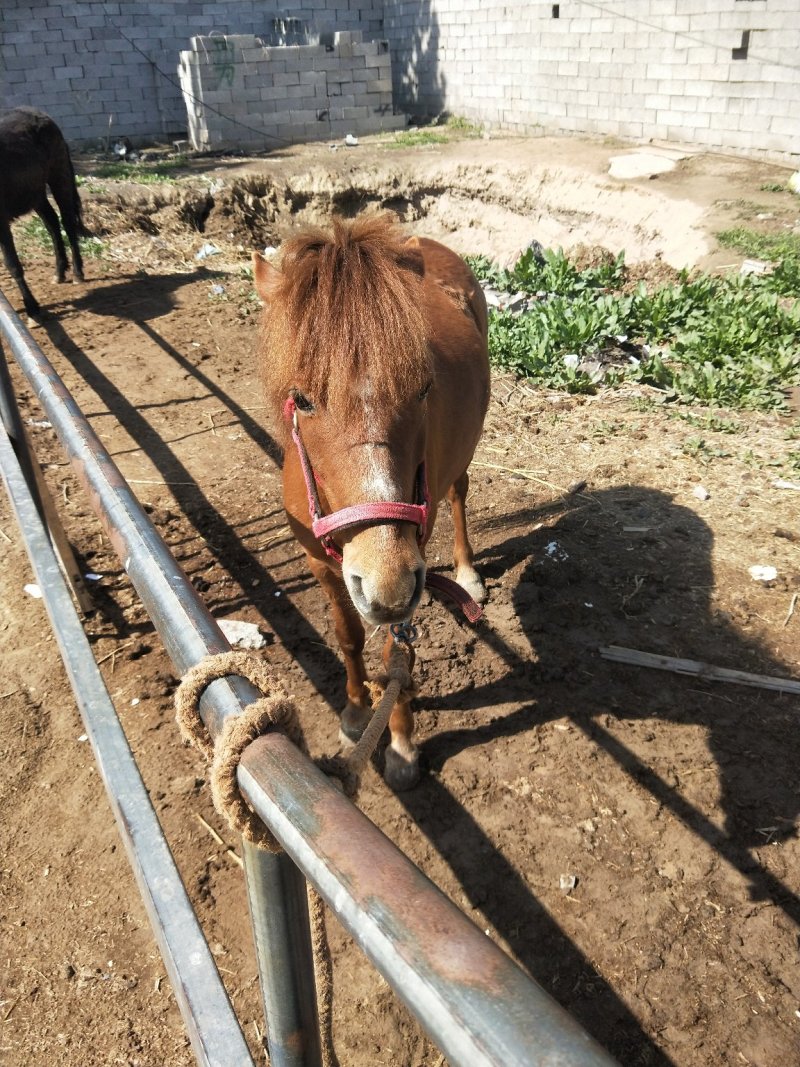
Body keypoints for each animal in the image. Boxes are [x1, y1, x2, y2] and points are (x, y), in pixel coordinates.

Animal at [0, 107, 88, 317]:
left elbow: (12, 264)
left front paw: (32, 306)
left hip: (59, 177)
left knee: (67, 223)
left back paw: (77, 272)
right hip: (36, 193)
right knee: (52, 223)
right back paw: (59, 272)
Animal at [253, 214, 490, 789]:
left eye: (423, 388)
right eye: (303, 399)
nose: (387, 586)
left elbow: (393, 650)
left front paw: (401, 743)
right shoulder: (321, 562)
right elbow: (349, 635)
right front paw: (358, 711)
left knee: (460, 493)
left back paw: (467, 573)